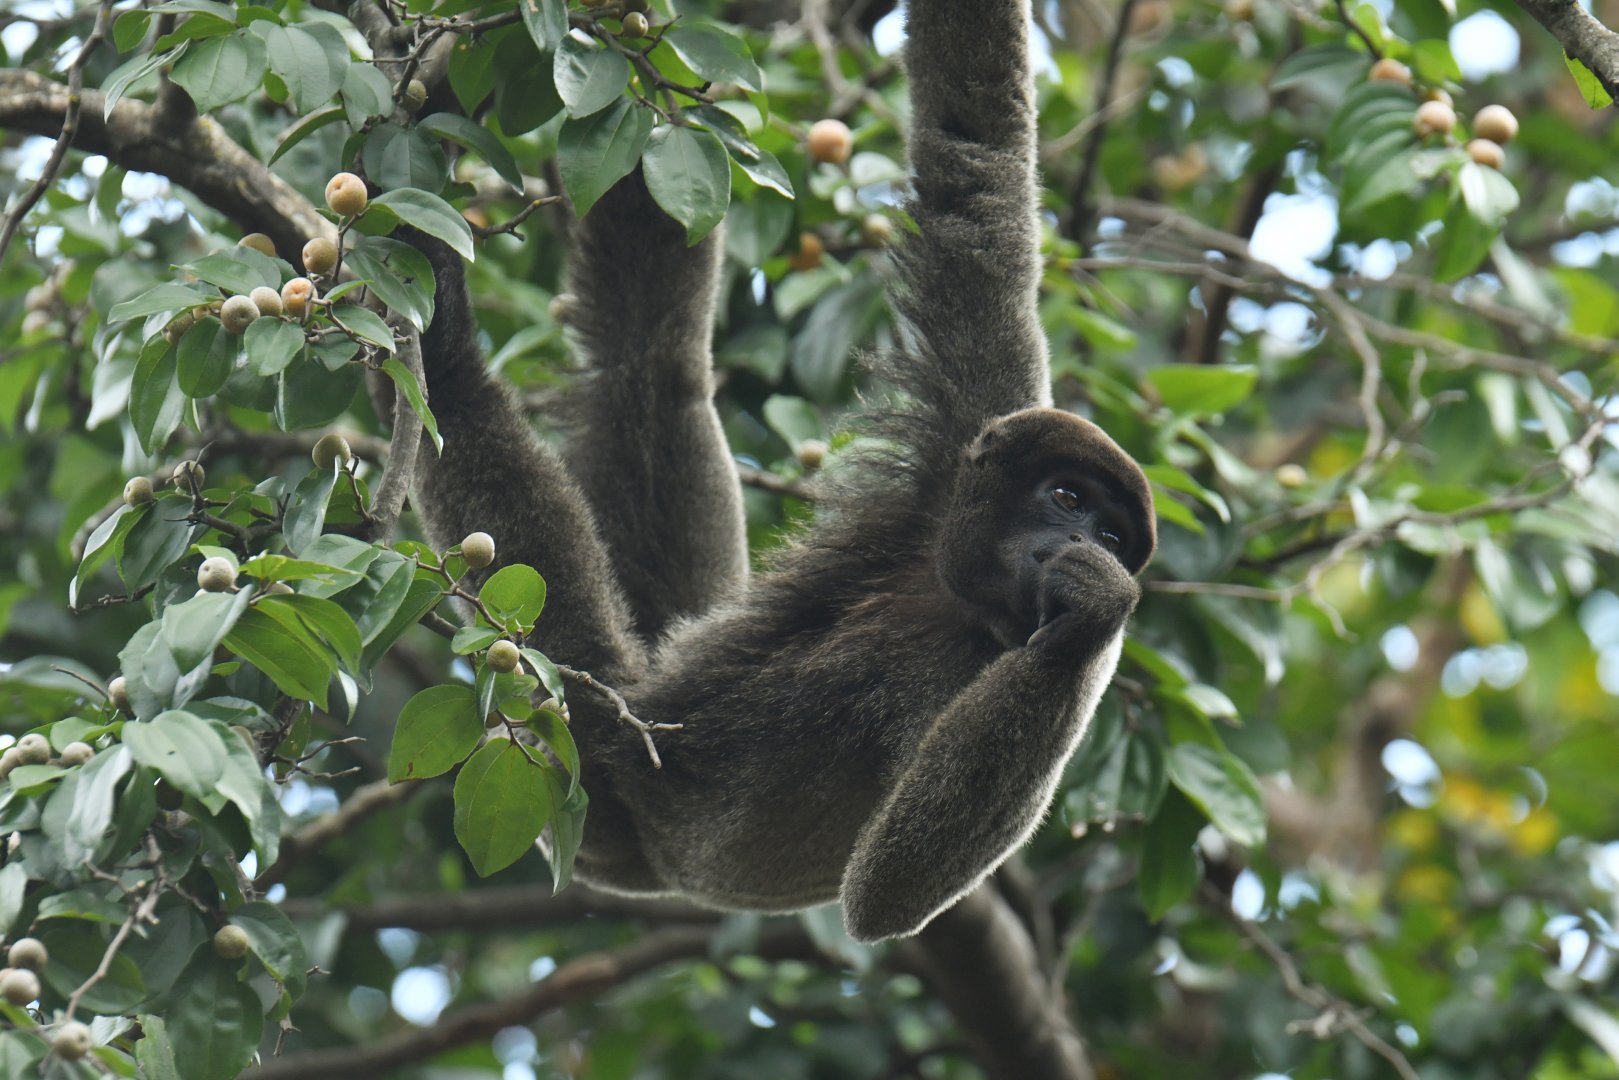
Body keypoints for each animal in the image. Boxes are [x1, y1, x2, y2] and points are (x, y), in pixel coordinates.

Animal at [407, 0, 1156, 942]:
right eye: (1065, 496)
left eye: (1113, 538)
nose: (1082, 543)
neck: (960, 603)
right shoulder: (981, 419)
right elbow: (976, 155)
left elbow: (887, 892)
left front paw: (1094, 602)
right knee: (648, 364)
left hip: (569, 781)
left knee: (573, 653)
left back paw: (446, 364)